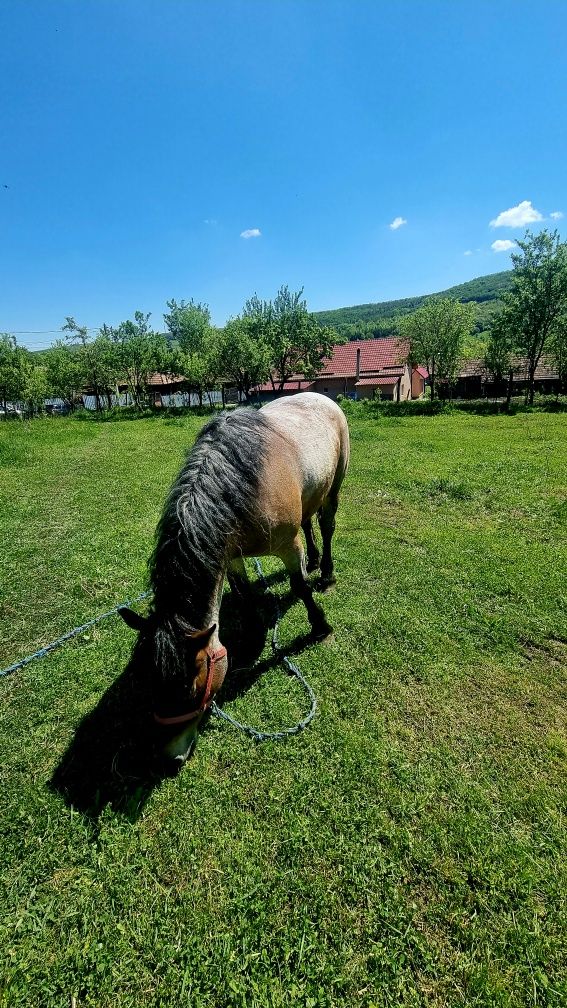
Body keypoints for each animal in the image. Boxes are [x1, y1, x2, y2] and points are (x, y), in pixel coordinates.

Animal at [118, 391, 349, 762]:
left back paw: (325, 571)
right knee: (309, 521)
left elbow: (299, 586)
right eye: (149, 683)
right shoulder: (233, 556)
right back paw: (314, 560)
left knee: (326, 526)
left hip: (334, 487)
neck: (241, 487)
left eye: (191, 687)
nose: (171, 755)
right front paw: (254, 631)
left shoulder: (287, 545)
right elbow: (244, 593)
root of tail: (320, 397)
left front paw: (319, 625)